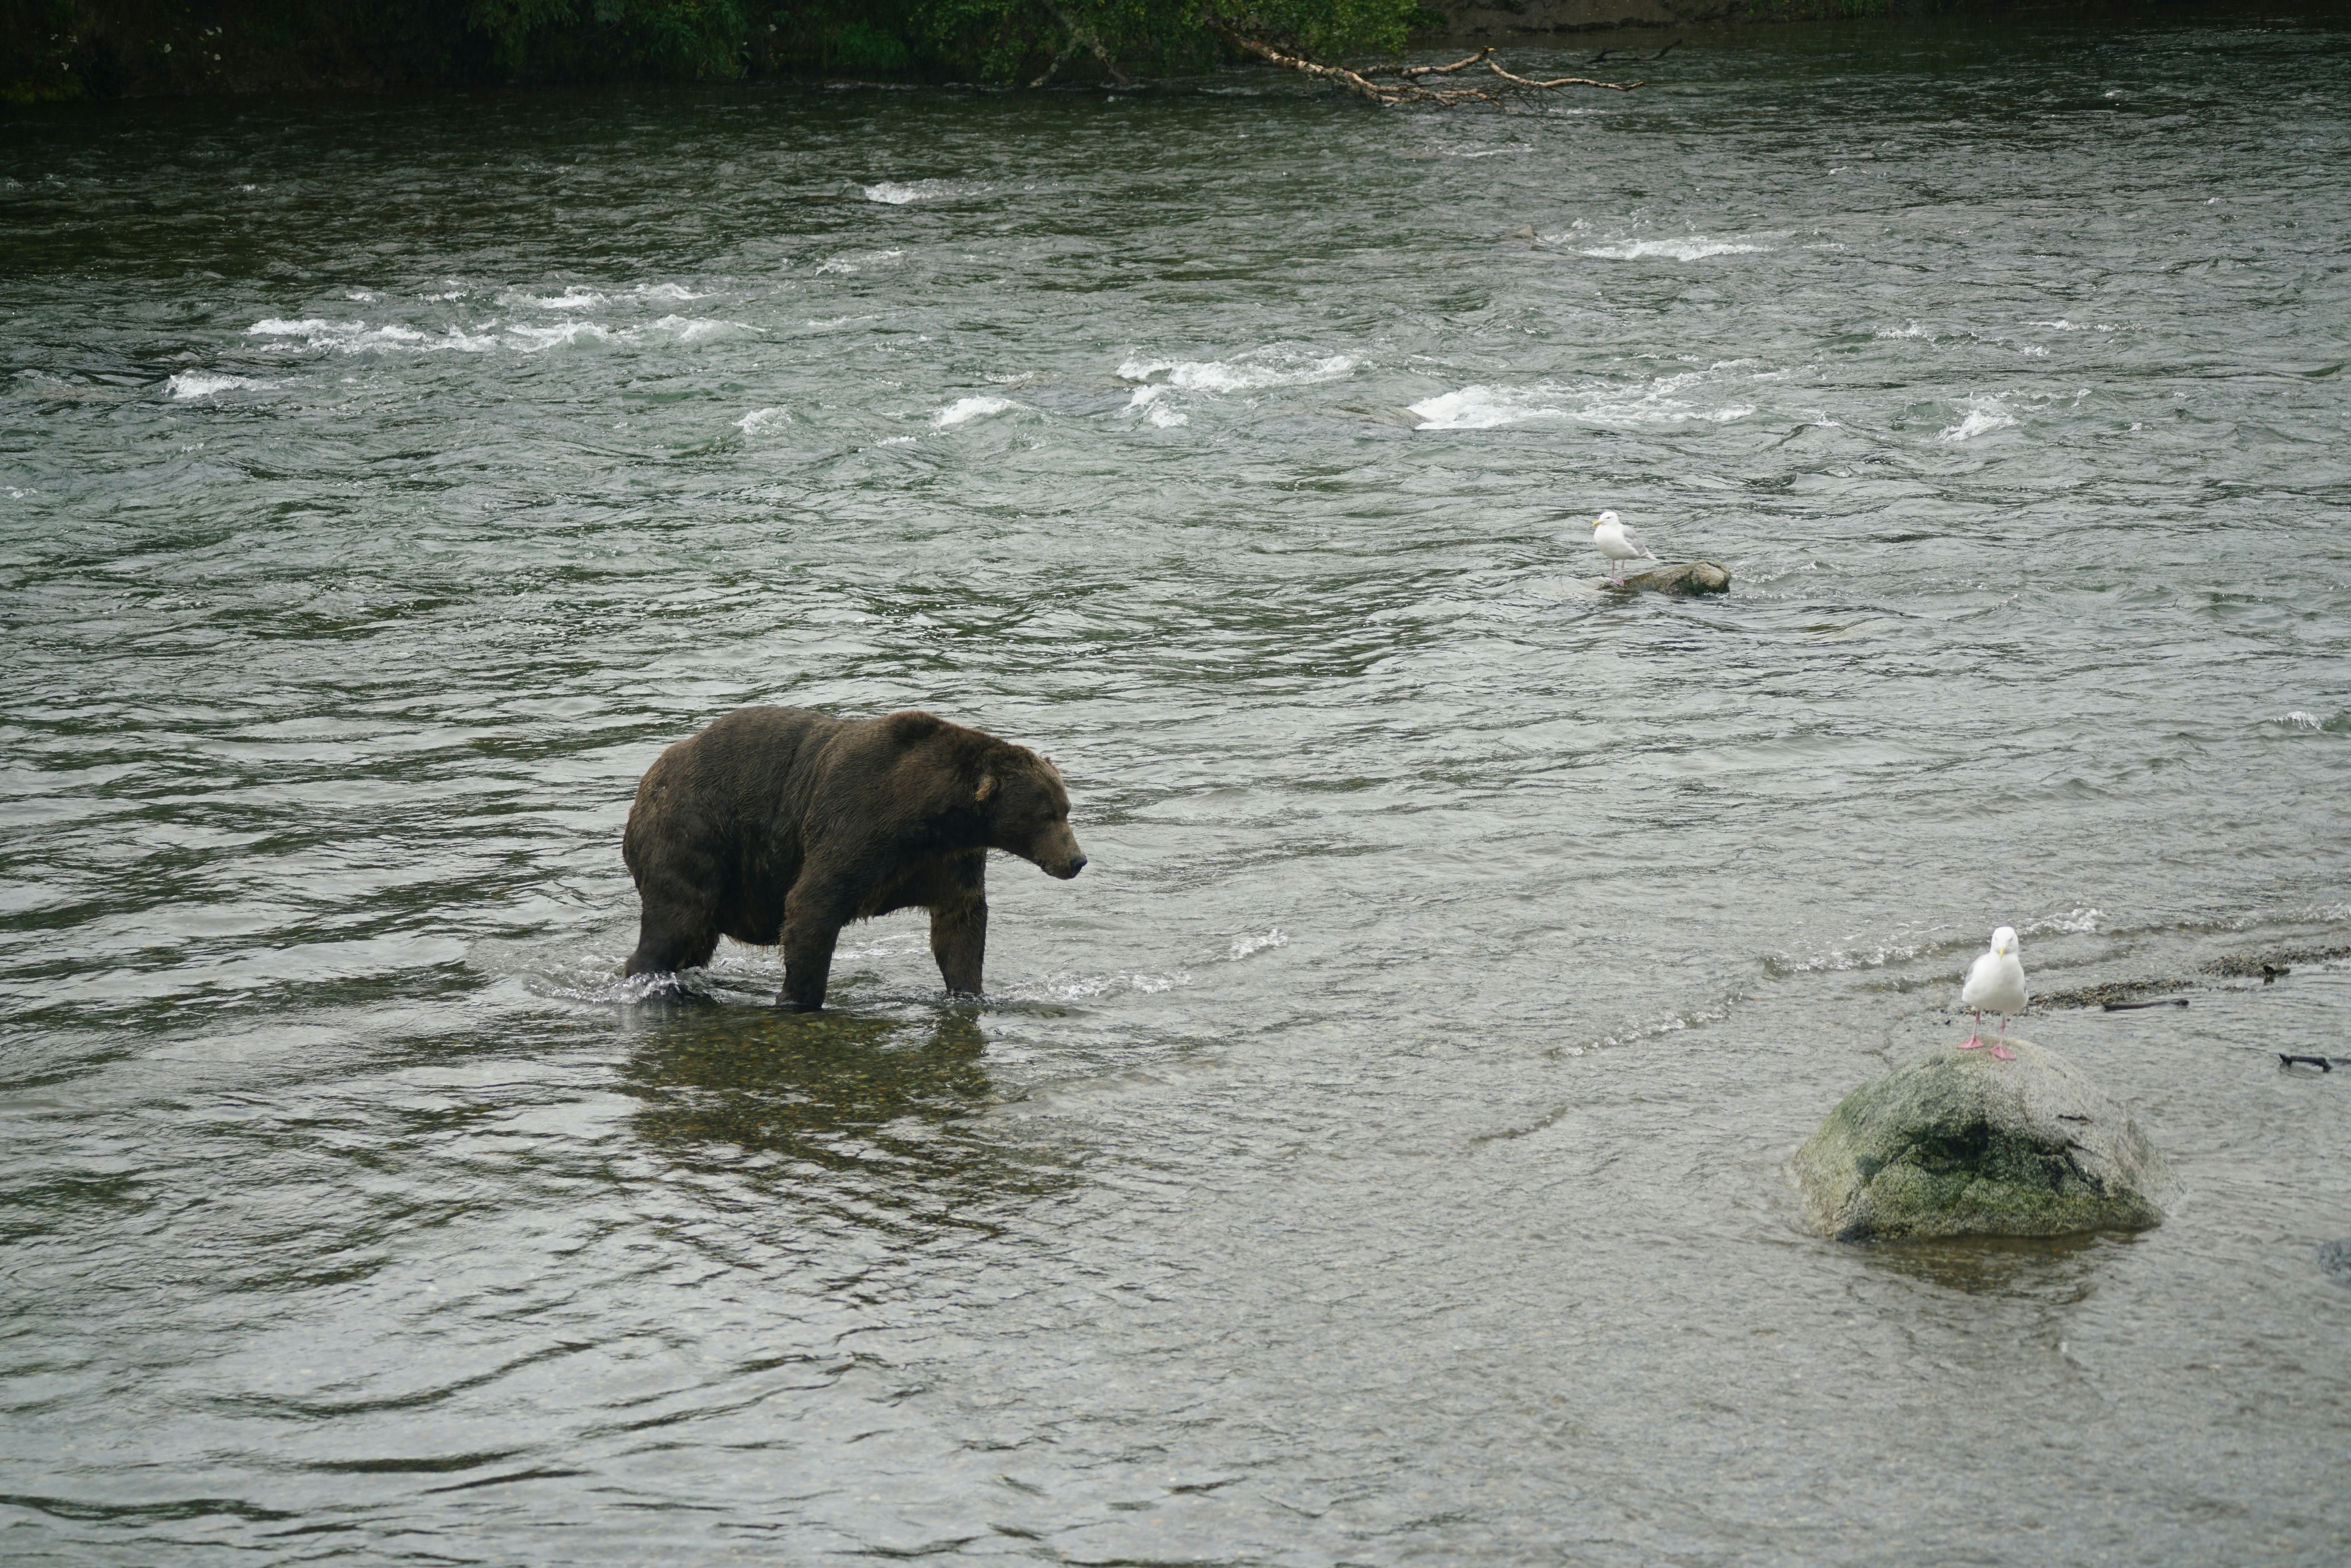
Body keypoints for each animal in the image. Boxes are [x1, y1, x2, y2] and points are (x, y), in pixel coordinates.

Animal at [621, 706, 1086, 1010]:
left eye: (1066, 808)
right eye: (1047, 813)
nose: (1077, 860)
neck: (933, 816)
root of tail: (648, 780)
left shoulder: (947, 862)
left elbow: (960, 927)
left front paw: (970, 992)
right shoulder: (858, 825)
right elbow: (812, 905)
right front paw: (798, 999)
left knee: (695, 938)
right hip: (694, 831)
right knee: (678, 917)